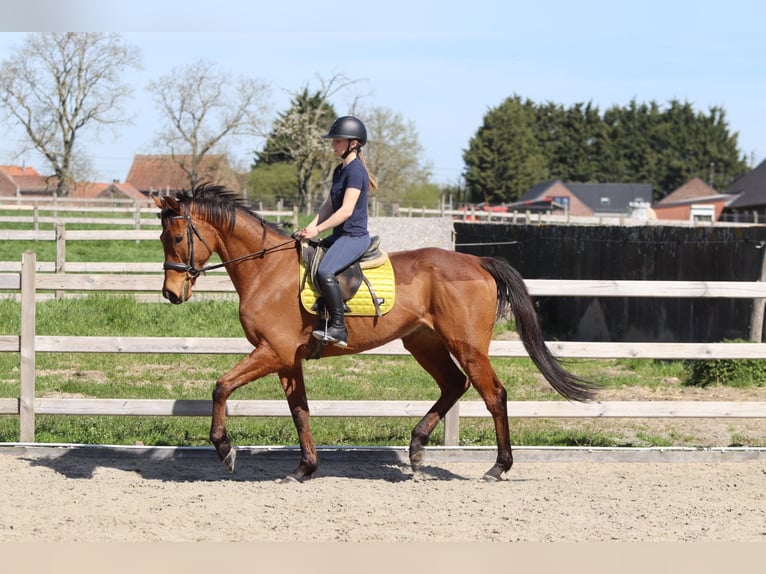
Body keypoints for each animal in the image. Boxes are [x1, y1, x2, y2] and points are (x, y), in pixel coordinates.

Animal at [154, 184, 598, 482]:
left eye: (175, 237)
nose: (171, 293)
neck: (267, 270)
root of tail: (477, 261)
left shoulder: (273, 351)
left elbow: (221, 386)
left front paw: (225, 450)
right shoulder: (288, 359)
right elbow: (300, 411)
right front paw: (305, 468)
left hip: (467, 345)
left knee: (494, 395)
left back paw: (498, 466)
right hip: (424, 342)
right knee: (454, 385)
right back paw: (416, 449)